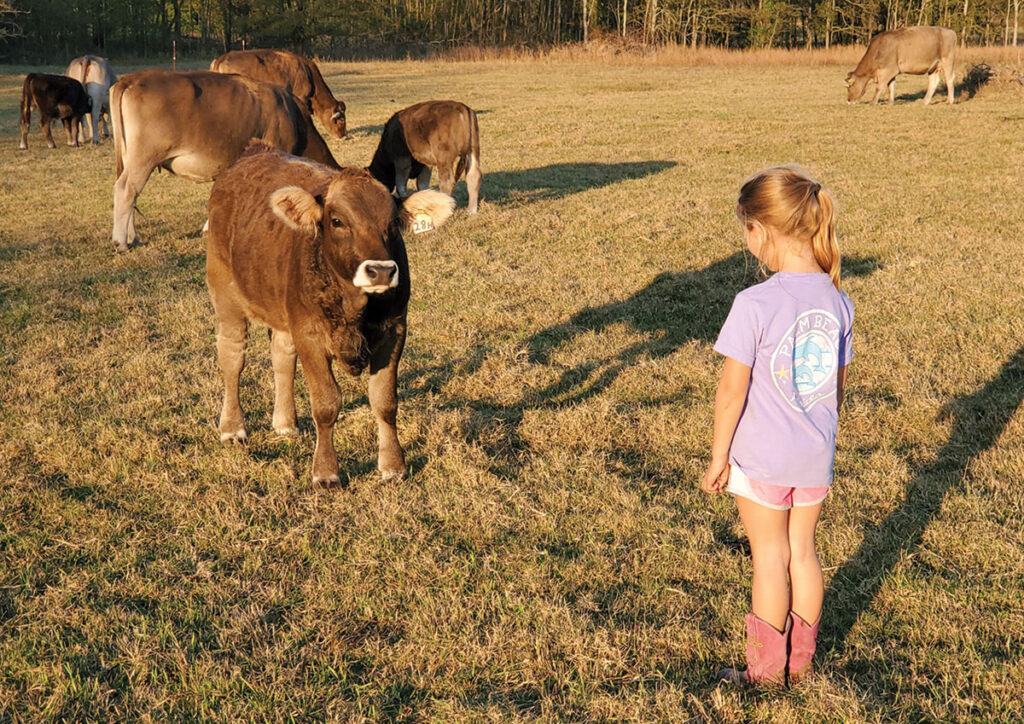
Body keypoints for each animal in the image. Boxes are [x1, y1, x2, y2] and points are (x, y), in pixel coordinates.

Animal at [111, 69, 339, 253]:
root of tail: (131, 79)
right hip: (143, 159)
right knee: (126, 190)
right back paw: (121, 242)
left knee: (131, 195)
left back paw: (133, 238)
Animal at [203, 142, 452, 487]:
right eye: (337, 221)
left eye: (393, 224)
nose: (381, 271)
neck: (354, 306)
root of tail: (253, 152)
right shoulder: (309, 334)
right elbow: (326, 403)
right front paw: (325, 472)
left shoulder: (394, 331)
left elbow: (385, 401)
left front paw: (393, 465)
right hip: (225, 294)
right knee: (232, 358)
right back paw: (232, 428)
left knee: (282, 357)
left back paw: (285, 423)